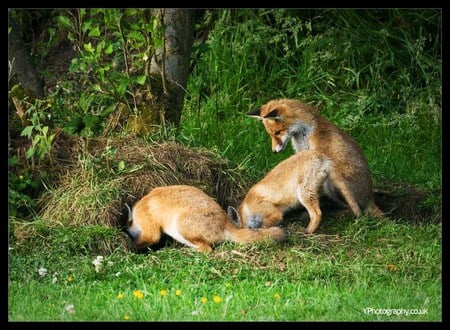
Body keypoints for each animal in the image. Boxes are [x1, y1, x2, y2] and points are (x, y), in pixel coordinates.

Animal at [124, 184, 284, 251]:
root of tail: (225, 223)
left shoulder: (150, 230)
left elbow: (149, 239)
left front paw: (133, 247)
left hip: (180, 227)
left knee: (206, 250)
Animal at [239, 98, 384, 232]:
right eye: (270, 135)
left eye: (278, 132)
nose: (274, 151)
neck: (305, 133)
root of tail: (370, 197)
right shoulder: (302, 157)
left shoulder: (315, 155)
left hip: (332, 185)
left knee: (354, 208)